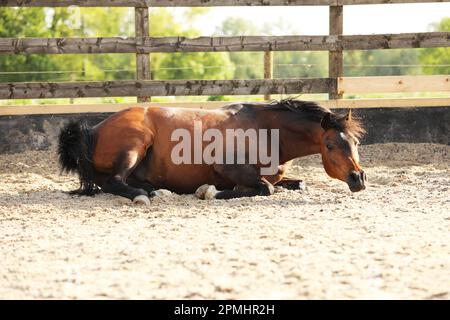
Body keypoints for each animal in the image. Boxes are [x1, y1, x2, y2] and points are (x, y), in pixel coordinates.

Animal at [59, 99, 366, 204]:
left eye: (356, 143)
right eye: (330, 145)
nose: (358, 178)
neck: (265, 129)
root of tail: (93, 130)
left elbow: (295, 183)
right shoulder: (227, 167)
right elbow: (265, 188)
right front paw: (210, 191)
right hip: (135, 145)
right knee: (115, 182)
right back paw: (143, 195)